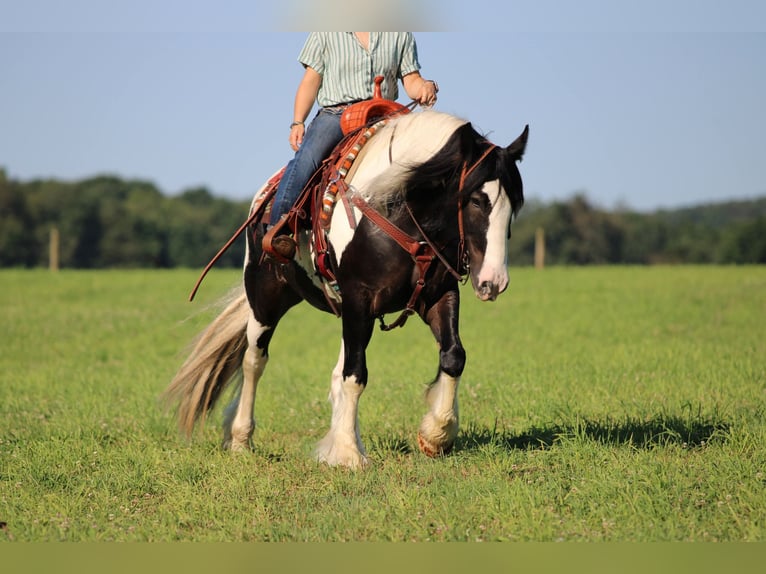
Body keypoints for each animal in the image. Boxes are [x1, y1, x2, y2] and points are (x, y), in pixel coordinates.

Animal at [164, 109, 529, 468]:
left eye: (515, 204)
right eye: (477, 201)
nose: (494, 281)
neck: (397, 209)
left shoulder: (438, 296)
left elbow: (453, 357)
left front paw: (436, 435)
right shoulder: (359, 300)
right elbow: (355, 375)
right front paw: (350, 454)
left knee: (332, 373)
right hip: (265, 296)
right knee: (254, 360)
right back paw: (240, 439)